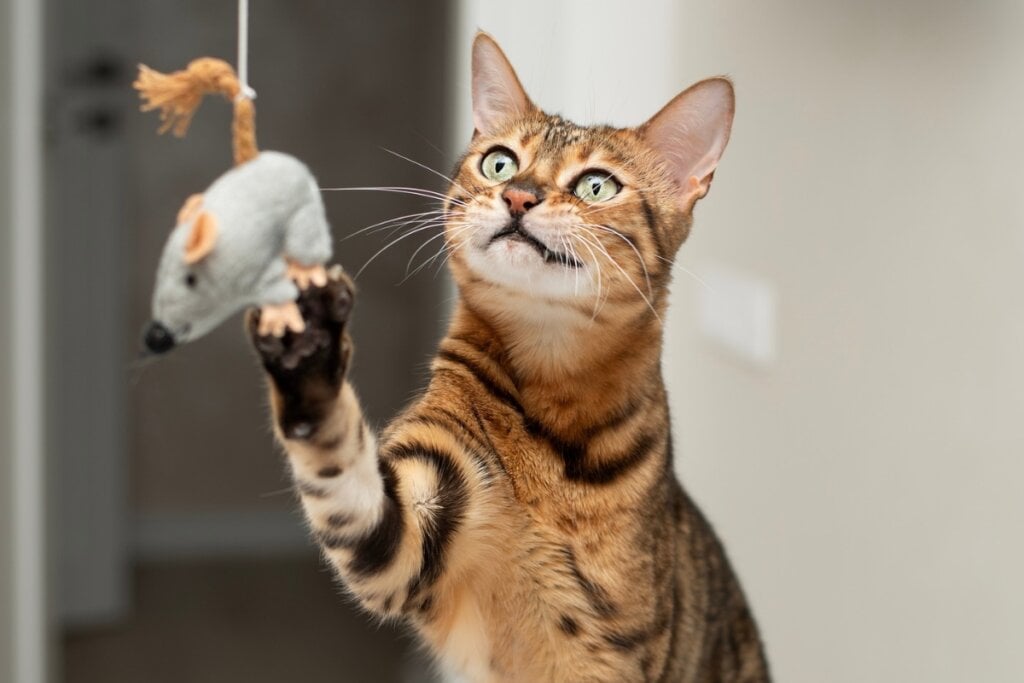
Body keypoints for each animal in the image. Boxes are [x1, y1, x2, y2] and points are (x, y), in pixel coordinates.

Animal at [249, 31, 770, 683]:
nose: (519, 194)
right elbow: (344, 471)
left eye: (597, 184)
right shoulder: (414, 523)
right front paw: (306, 342)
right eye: (499, 161)